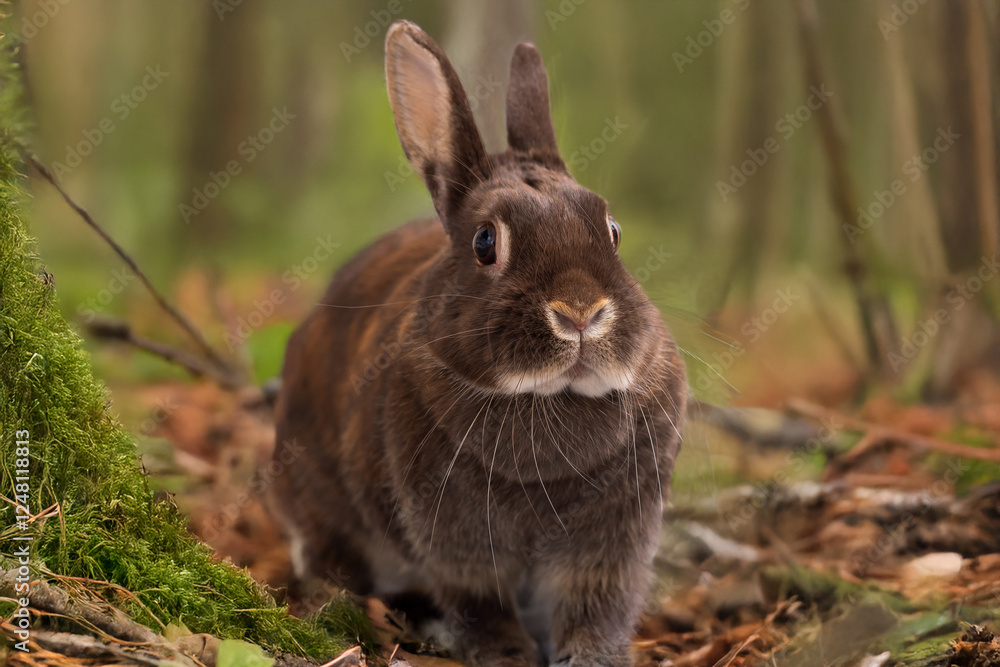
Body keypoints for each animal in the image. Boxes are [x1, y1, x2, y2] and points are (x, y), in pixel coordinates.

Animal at [271, 19, 686, 667]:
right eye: (486, 241)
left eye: (612, 230)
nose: (581, 314)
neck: (548, 398)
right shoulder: (456, 540)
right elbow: (480, 602)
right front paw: (506, 655)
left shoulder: (611, 545)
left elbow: (597, 606)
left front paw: (594, 658)